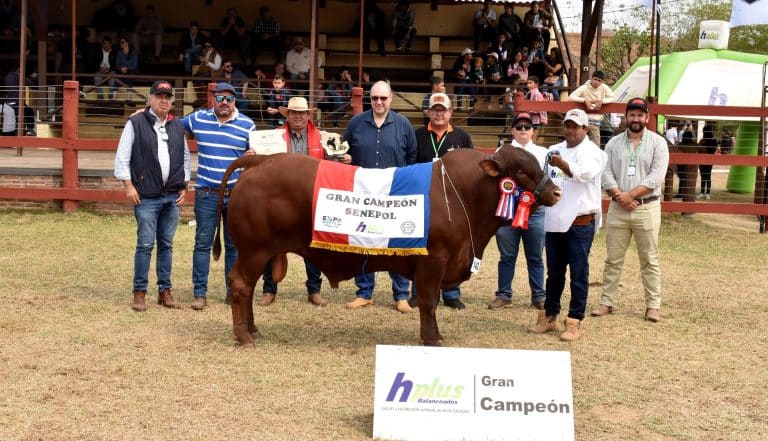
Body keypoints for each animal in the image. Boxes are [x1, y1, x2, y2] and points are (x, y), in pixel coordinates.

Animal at [213, 146, 560, 346]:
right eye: (520, 172)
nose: (556, 192)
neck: (462, 193)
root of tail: (261, 160)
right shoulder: (434, 261)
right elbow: (429, 302)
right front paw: (432, 339)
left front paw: (434, 335)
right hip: (253, 250)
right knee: (240, 285)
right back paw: (244, 336)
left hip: (261, 252)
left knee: (248, 289)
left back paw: (253, 330)